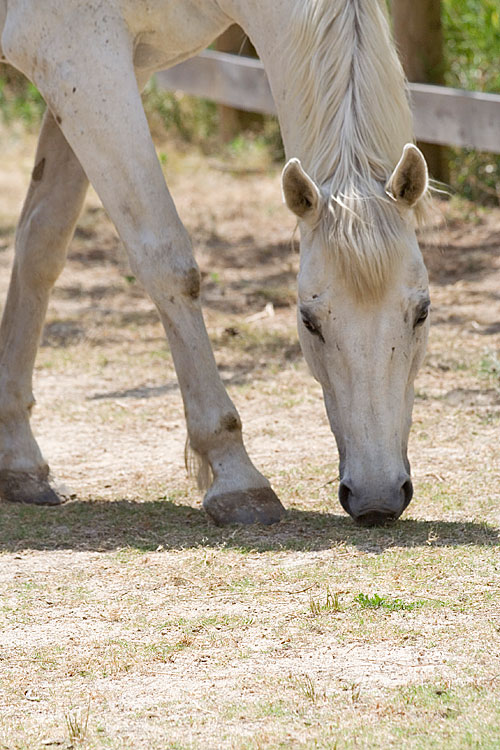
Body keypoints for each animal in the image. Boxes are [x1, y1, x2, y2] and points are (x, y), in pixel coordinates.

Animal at [0, 1, 430, 528]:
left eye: (422, 313)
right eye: (308, 322)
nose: (376, 498)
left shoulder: (93, 75)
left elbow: (40, 244)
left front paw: (20, 461)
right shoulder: (78, 61)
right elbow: (167, 261)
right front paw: (236, 477)